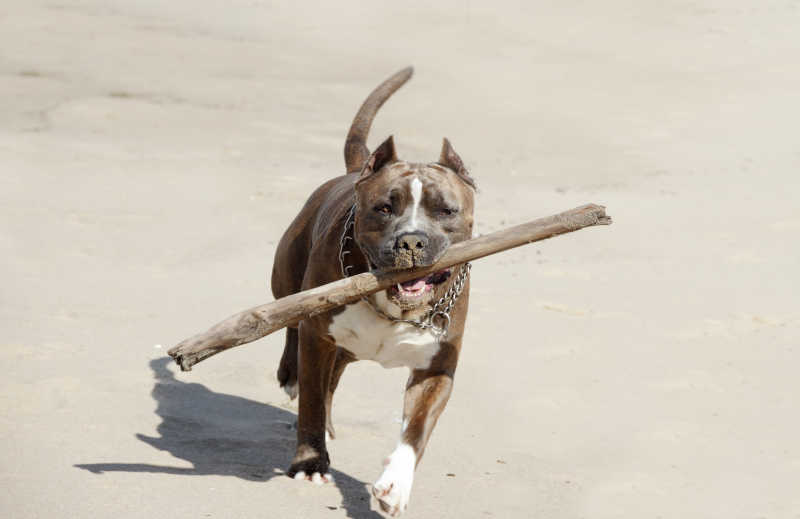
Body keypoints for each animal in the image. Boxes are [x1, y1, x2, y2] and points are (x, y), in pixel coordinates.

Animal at [272, 67, 478, 516]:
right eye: (385, 208)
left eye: (446, 210)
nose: (412, 240)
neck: (393, 308)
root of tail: (354, 171)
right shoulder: (318, 338)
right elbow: (311, 402)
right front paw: (310, 462)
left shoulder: (435, 369)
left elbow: (416, 431)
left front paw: (394, 486)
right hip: (287, 280)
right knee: (290, 322)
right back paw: (291, 377)